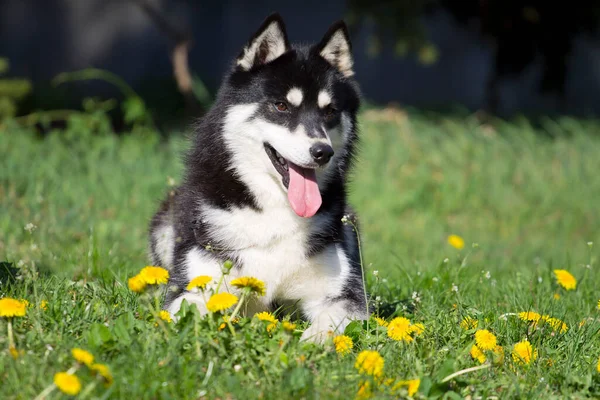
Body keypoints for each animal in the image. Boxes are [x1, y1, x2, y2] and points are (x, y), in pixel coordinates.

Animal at [148, 13, 368, 344]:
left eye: (330, 111)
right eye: (281, 106)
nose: (322, 152)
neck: (275, 211)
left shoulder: (344, 296)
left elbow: (329, 325)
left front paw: (312, 344)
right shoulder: (195, 287)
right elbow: (189, 311)